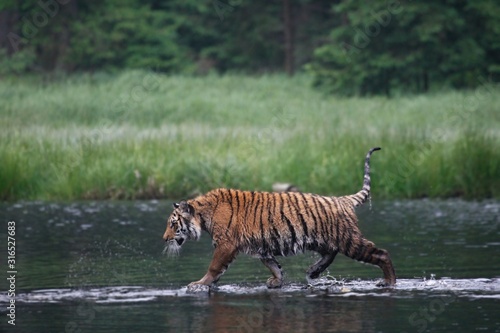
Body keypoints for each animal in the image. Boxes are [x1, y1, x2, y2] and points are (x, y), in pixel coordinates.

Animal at [162, 147, 396, 290]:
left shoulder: (226, 245)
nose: (164, 238)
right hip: (319, 239)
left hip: (348, 239)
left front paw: (198, 284)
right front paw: (276, 281)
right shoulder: (260, 246)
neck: (203, 214)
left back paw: (389, 282)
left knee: (381, 253)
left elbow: (213, 267)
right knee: (330, 253)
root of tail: (342, 200)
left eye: (173, 224)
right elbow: (274, 265)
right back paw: (313, 272)